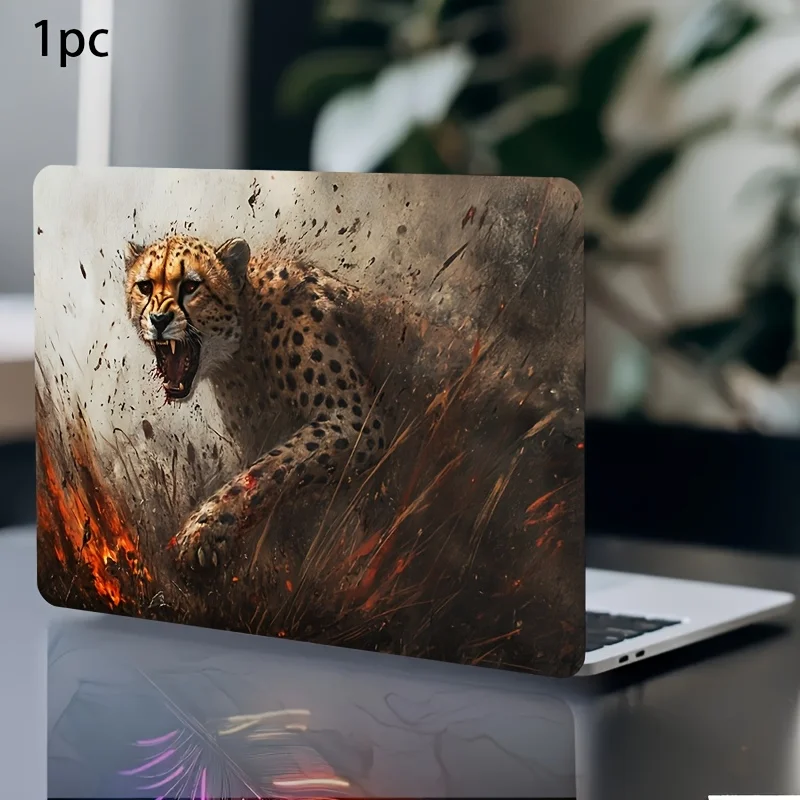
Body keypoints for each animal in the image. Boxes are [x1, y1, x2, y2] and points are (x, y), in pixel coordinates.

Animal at [123, 234, 387, 574]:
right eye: (144, 287)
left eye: (191, 286)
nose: (158, 319)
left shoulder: (354, 418)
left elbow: (272, 467)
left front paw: (204, 528)